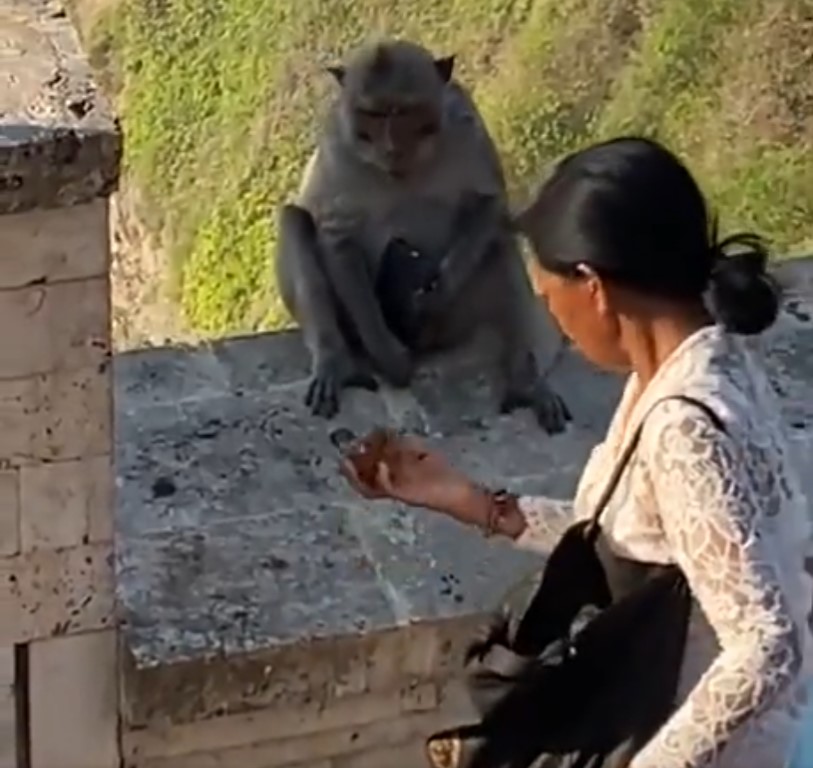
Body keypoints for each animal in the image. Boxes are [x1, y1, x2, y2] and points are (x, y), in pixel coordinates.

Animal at [274, 39, 571, 433]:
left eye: (402, 112)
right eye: (372, 114)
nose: (389, 146)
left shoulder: (464, 117)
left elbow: (488, 202)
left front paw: (434, 294)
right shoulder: (337, 144)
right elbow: (337, 234)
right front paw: (389, 356)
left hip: (452, 325)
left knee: (498, 243)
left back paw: (525, 382)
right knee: (294, 221)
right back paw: (335, 362)